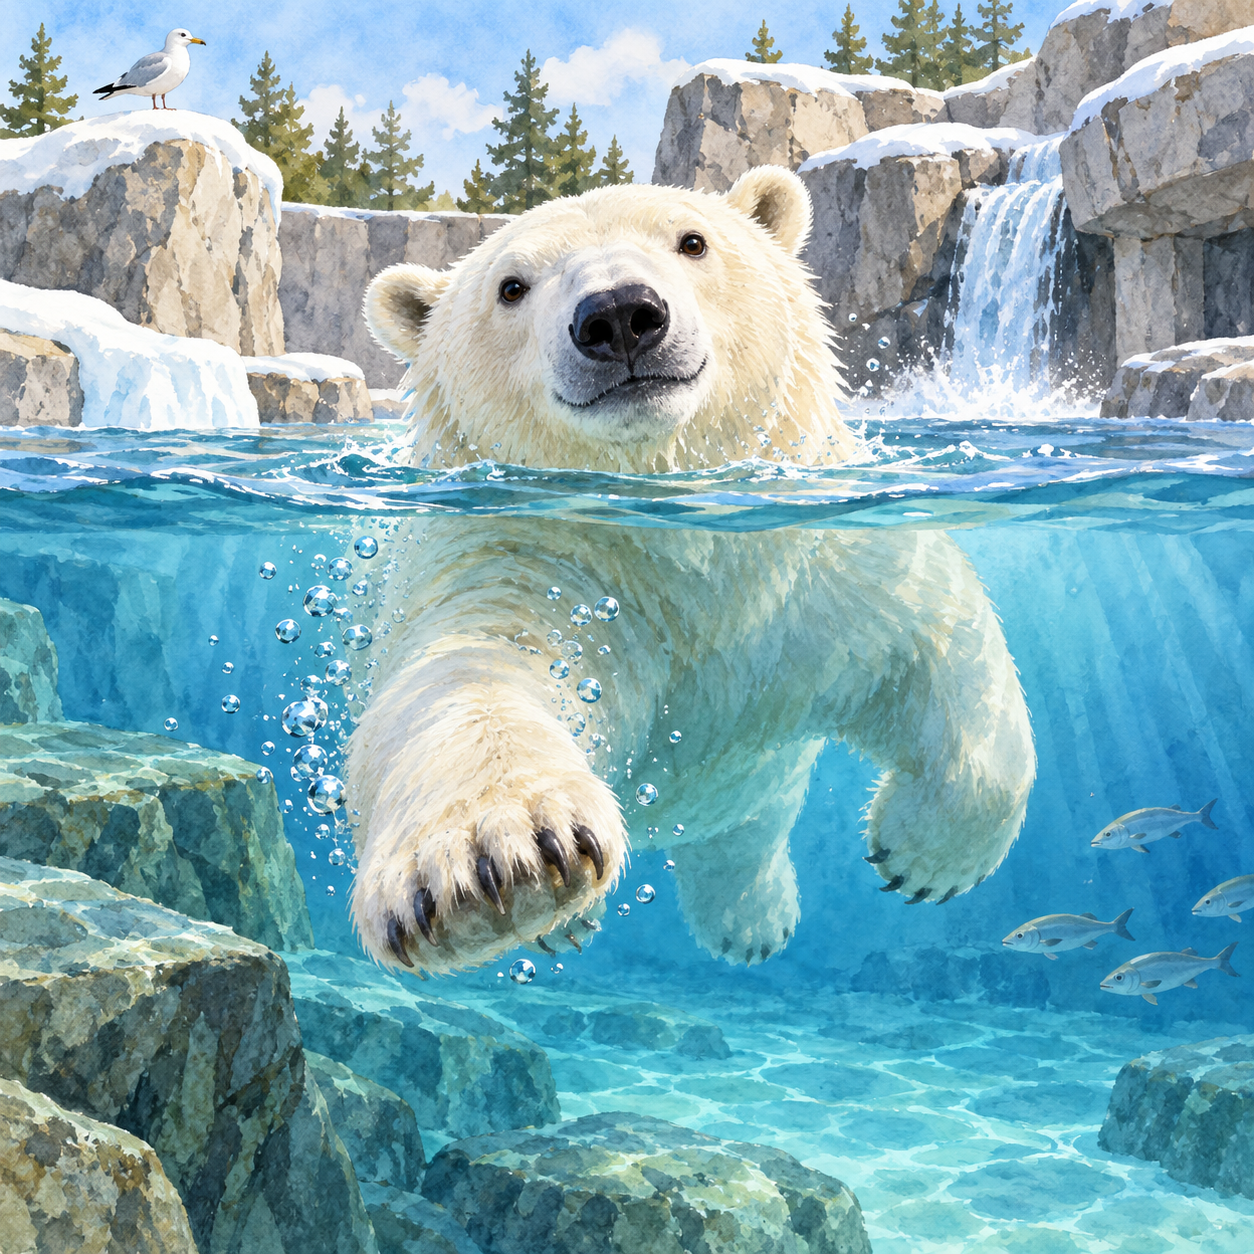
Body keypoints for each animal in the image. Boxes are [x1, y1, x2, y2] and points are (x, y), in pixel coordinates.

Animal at [347, 166, 1036, 975]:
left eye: (693, 240)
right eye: (511, 286)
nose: (619, 315)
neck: (678, 532)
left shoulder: (823, 563)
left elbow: (941, 641)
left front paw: (923, 854)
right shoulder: (529, 560)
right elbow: (462, 676)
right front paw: (500, 862)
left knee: (746, 824)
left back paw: (749, 922)